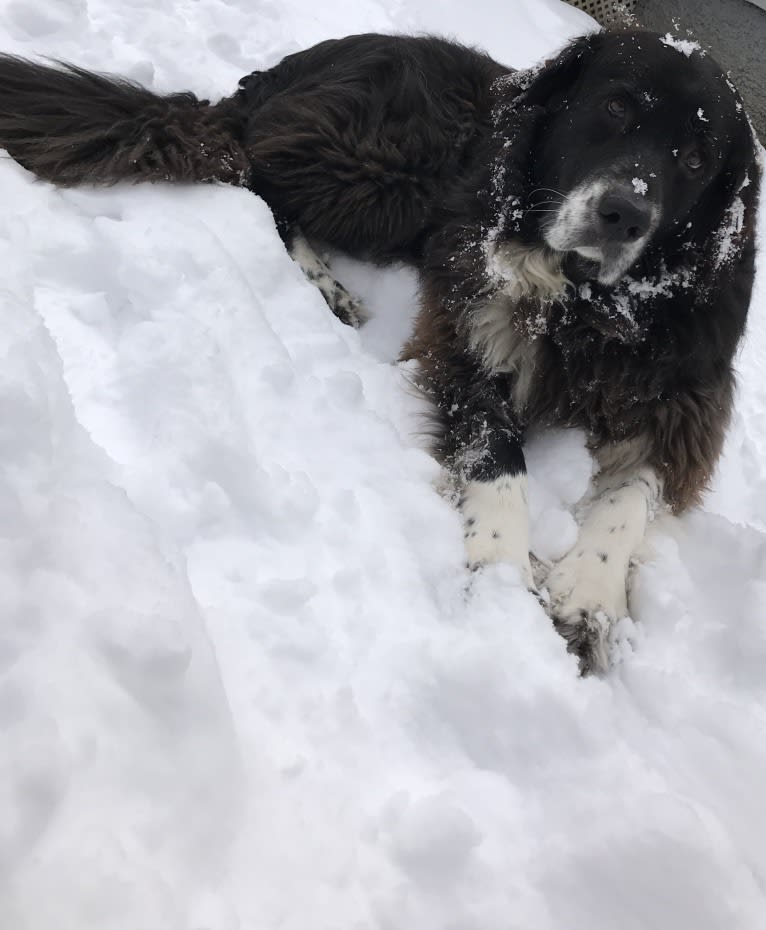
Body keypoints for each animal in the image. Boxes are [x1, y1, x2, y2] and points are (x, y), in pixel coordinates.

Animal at [0, 27, 760, 668]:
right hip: (383, 167)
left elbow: (630, 497)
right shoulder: (466, 335)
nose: (625, 214)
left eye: (695, 159)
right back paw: (325, 282)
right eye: (615, 106)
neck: (586, 305)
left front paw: (588, 600)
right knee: (252, 171)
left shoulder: (683, 402)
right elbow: (499, 457)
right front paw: (501, 569)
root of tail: (278, 74)